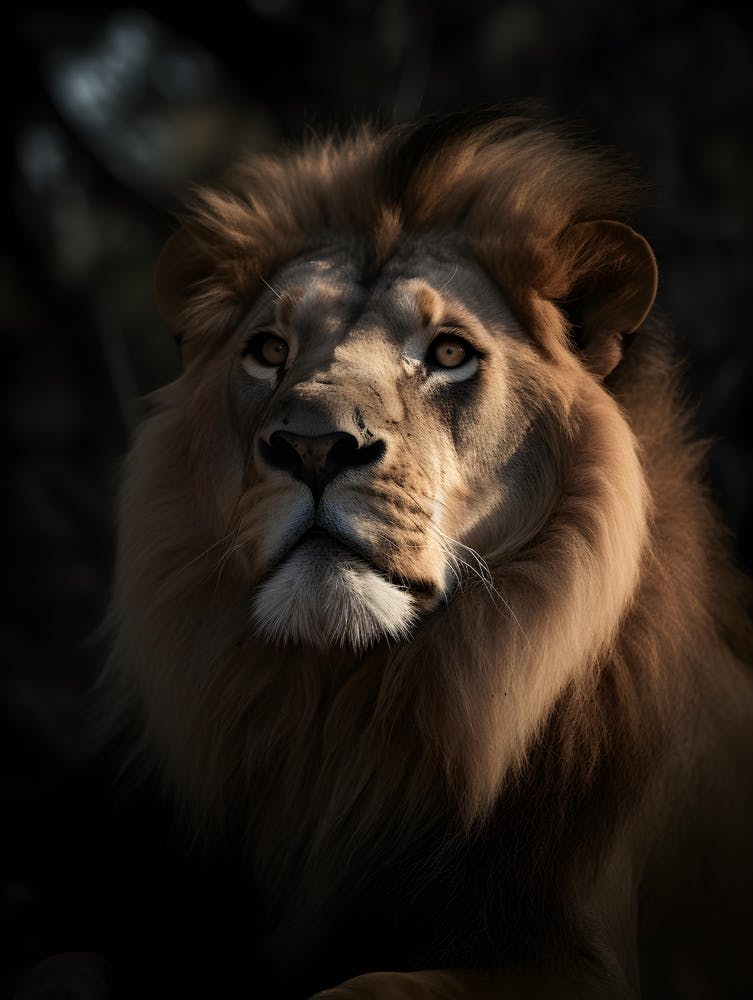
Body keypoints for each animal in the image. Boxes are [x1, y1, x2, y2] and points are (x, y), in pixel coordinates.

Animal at [101, 111, 753, 998]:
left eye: (447, 354)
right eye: (268, 351)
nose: (312, 447)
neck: (343, 721)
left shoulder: (580, 963)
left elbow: (368, 988)